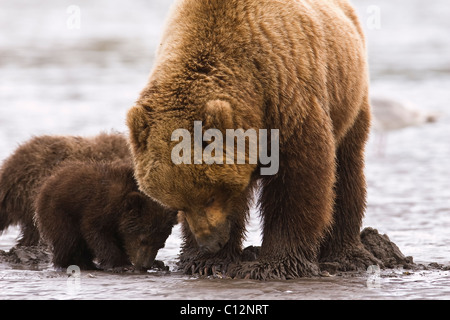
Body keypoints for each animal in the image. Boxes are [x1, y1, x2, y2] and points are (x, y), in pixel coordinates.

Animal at [127, 0, 380, 280]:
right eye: (179, 203)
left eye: (210, 196)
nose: (209, 243)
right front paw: (203, 261)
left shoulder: (287, 99)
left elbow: (298, 182)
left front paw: (274, 264)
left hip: (348, 97)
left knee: (346, 170)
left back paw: (346, 254)